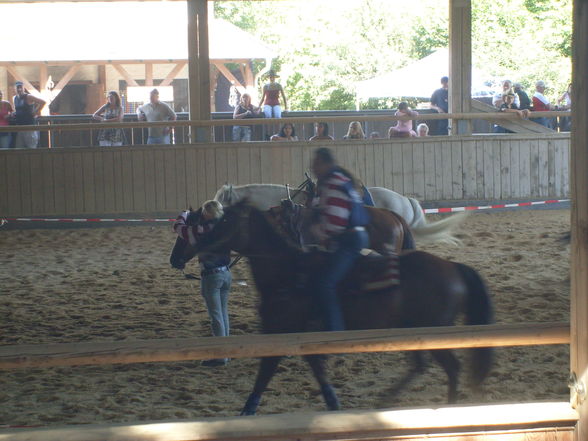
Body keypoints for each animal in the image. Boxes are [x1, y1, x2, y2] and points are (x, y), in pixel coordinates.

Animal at [169, 201, 492, 414]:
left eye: (222, 223)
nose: (197, 249)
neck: (289, 272)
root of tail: (452, 267)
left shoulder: (281, 331)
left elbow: (264, 375)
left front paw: (247, 411)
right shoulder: (300, 337)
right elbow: (317, 373)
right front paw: (334, 405)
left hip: (431, 330)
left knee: (449, 367)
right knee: (426, 366)